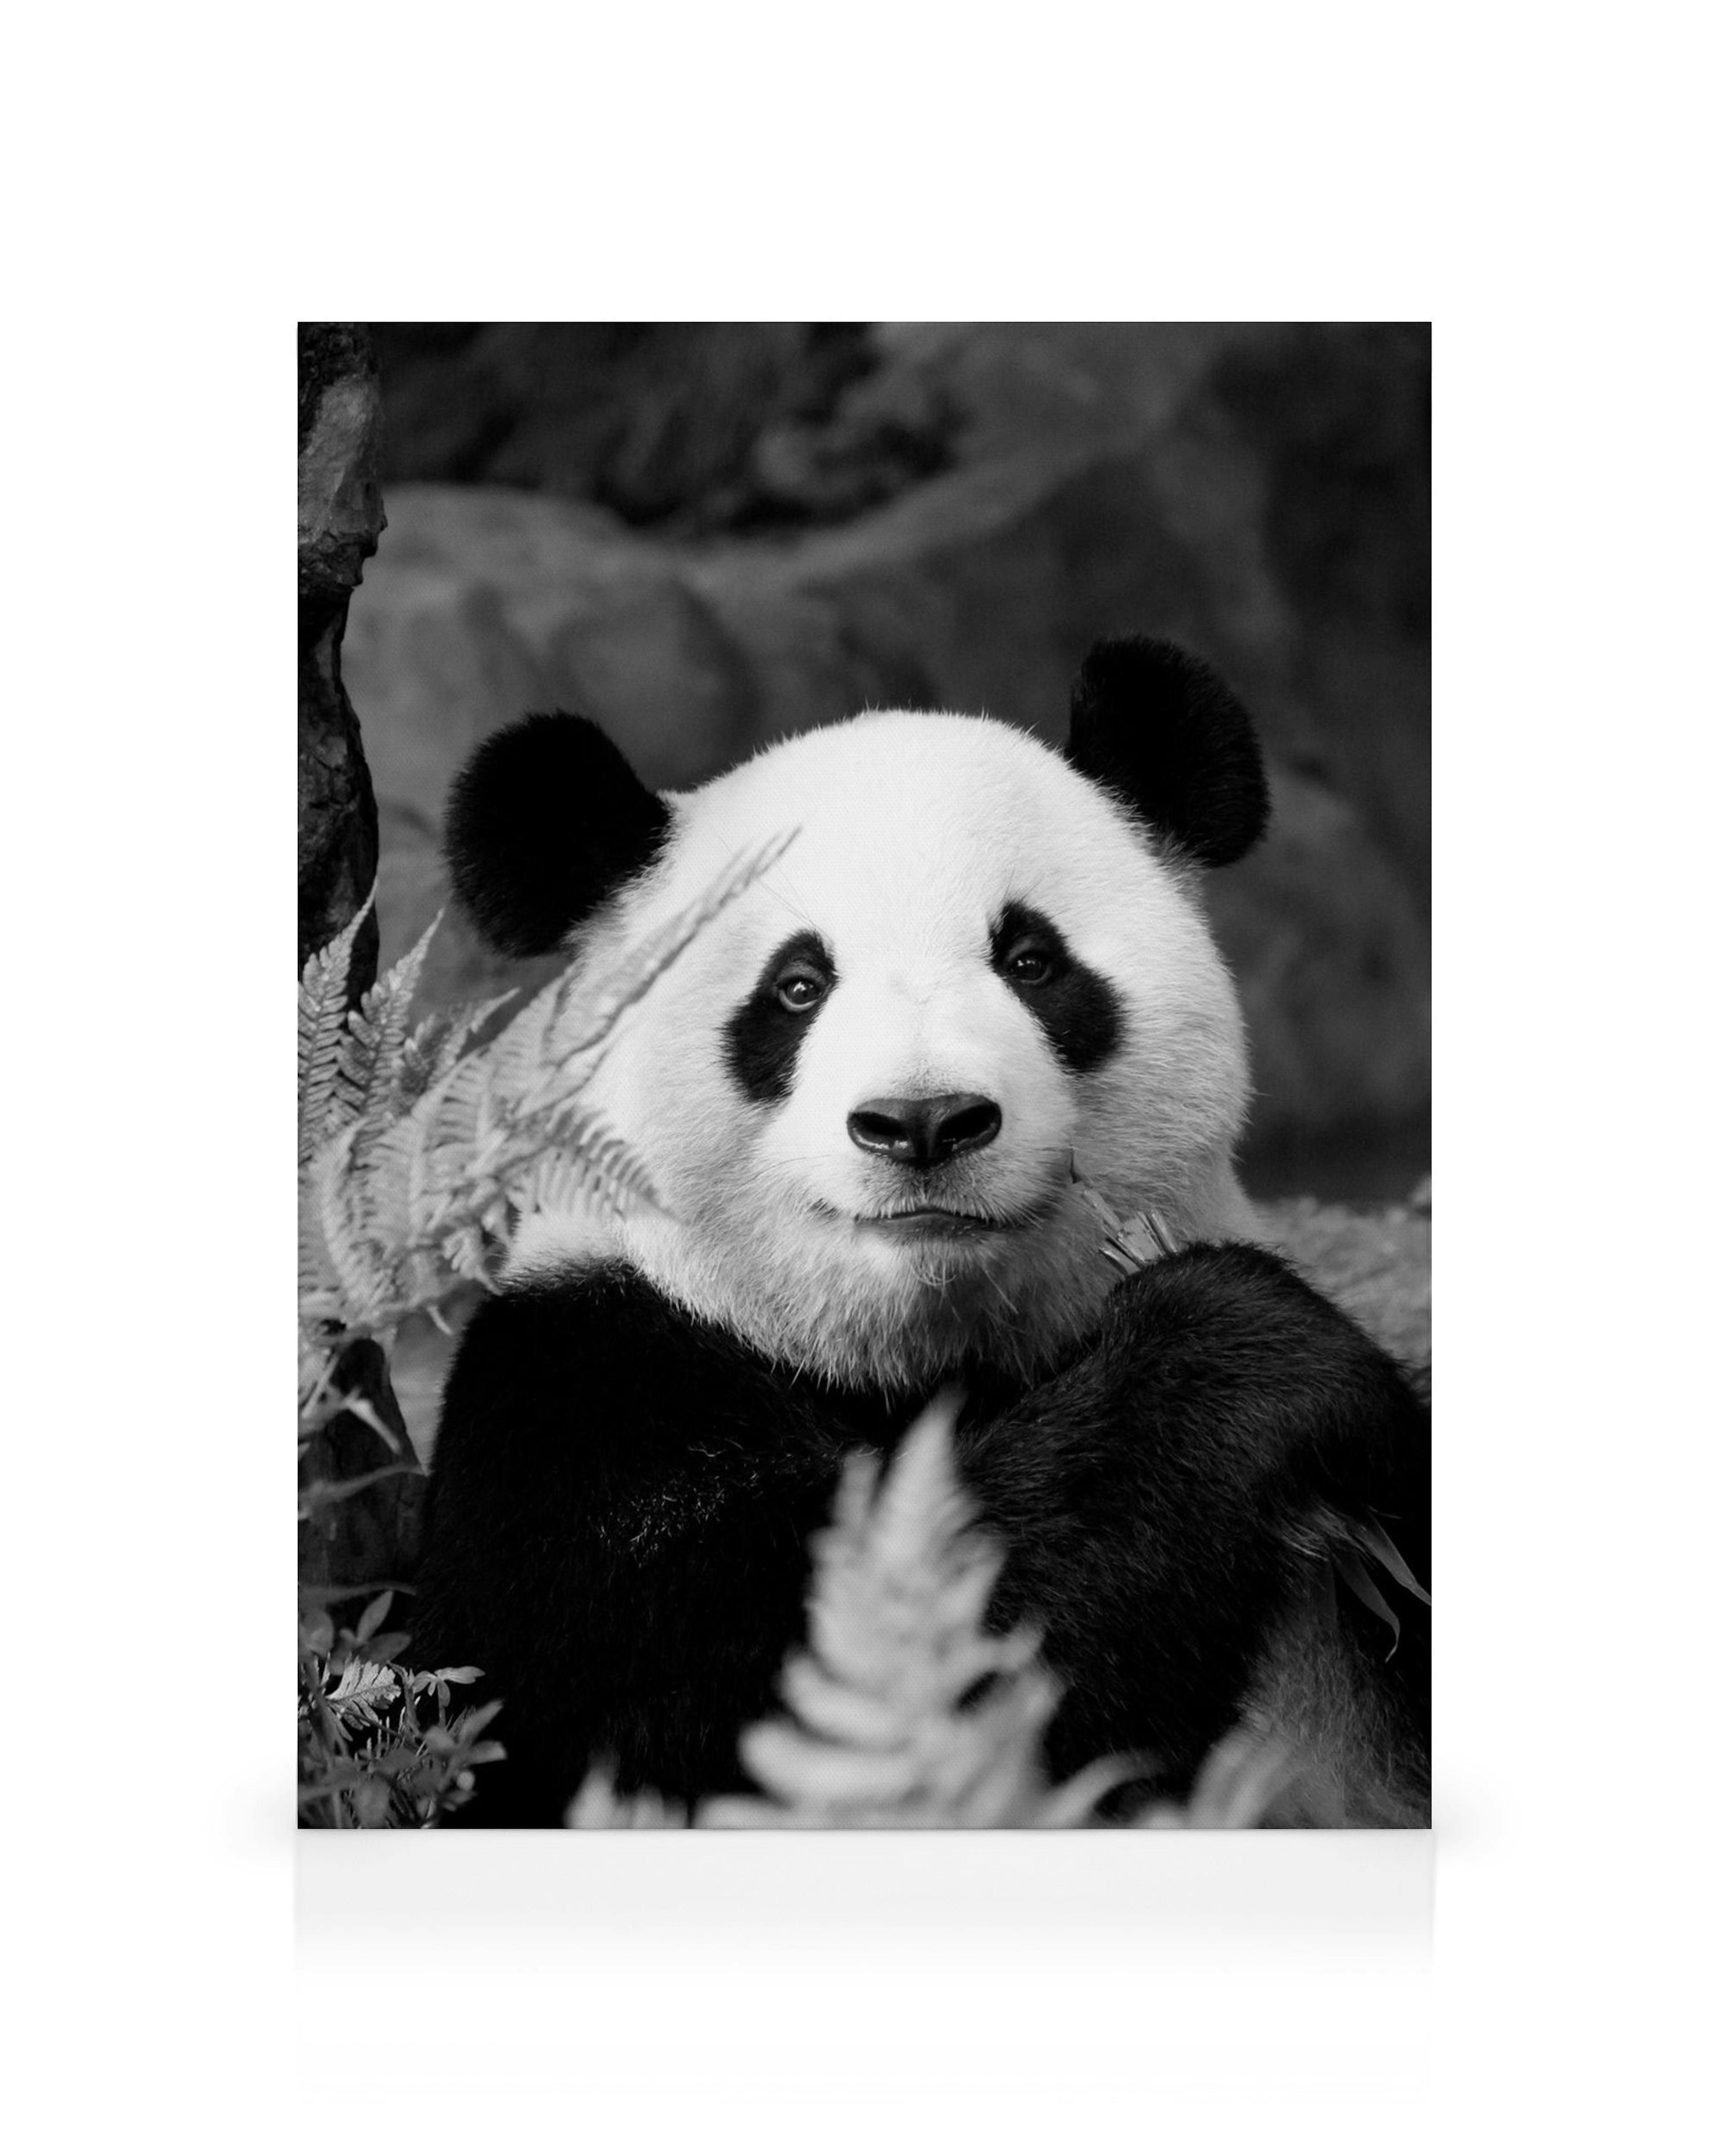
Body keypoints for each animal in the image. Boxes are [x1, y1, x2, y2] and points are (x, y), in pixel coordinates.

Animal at [412, 634, 1431, 1829]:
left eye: (1031, 960)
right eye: (796, 986)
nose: (925, 1121)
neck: (919, 1352)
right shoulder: (578, 1398)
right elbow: (795, 1687)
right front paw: (1242, 1348)